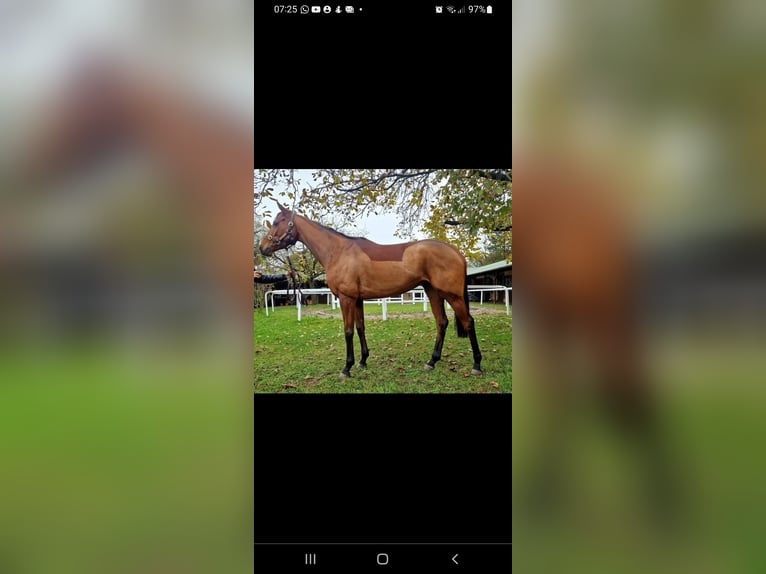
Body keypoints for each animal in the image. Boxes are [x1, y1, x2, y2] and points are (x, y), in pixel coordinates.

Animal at [259, 202, 483, 378]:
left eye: (278, 222)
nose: (263, 247)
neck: (338, 252)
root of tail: (456, 252)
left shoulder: (346, 299)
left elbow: (348, 331)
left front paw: (347, 368)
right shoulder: (357, 299)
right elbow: (360, 328)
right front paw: (363, 361)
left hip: (452, 295)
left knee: (468, 322)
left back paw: (477, 364)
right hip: (433, 291)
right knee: (442, 322)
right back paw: (432, 362)